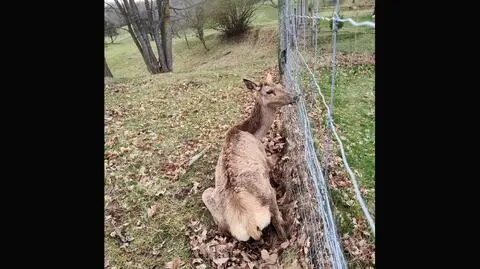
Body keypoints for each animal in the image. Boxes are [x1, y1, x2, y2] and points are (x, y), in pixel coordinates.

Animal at [201, 73, 298, 241]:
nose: (294, 96)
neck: (252, 132)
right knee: (279, 226)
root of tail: (249, 224)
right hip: (268, 193)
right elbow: (275, 161)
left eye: (280, 85)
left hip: (208, 197)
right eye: (269, 91)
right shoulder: (264, 158)